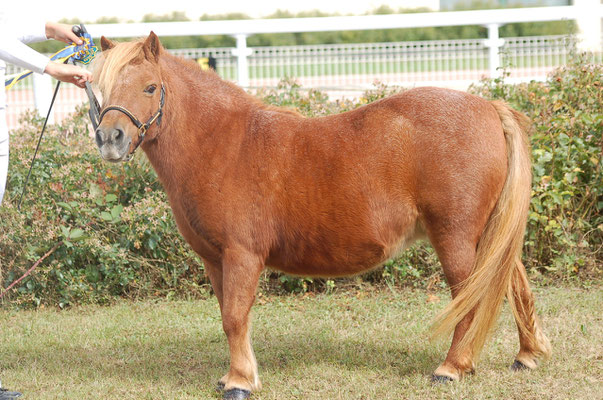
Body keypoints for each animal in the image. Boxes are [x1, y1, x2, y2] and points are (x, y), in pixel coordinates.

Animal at [91, 32, 552, 398]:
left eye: (151, 87)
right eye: (101, 89)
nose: (110, 138)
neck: (223, 144)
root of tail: (489, 108)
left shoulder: (242, 255)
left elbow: (235, 317)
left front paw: (239, 383)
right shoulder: (215, 260)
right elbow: (229, 316)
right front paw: (236, 376)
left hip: (455, 236)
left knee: (470, 297)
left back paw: (451, 368)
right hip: (485, 234)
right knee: (514, 285)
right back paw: (526, 356)